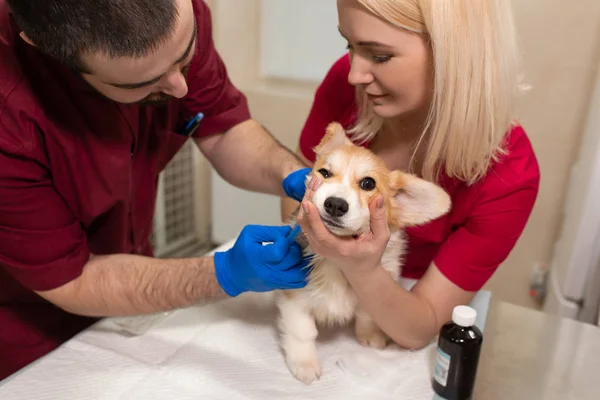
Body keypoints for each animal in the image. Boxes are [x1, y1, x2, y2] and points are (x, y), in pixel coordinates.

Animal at [276, 122, 450, 384]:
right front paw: (304, 364)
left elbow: (367, 313)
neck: (337, 264)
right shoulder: (295, 298)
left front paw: (370, 336)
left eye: (368, 184)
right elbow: (303, 332)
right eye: (324, 173)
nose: (335, 204)